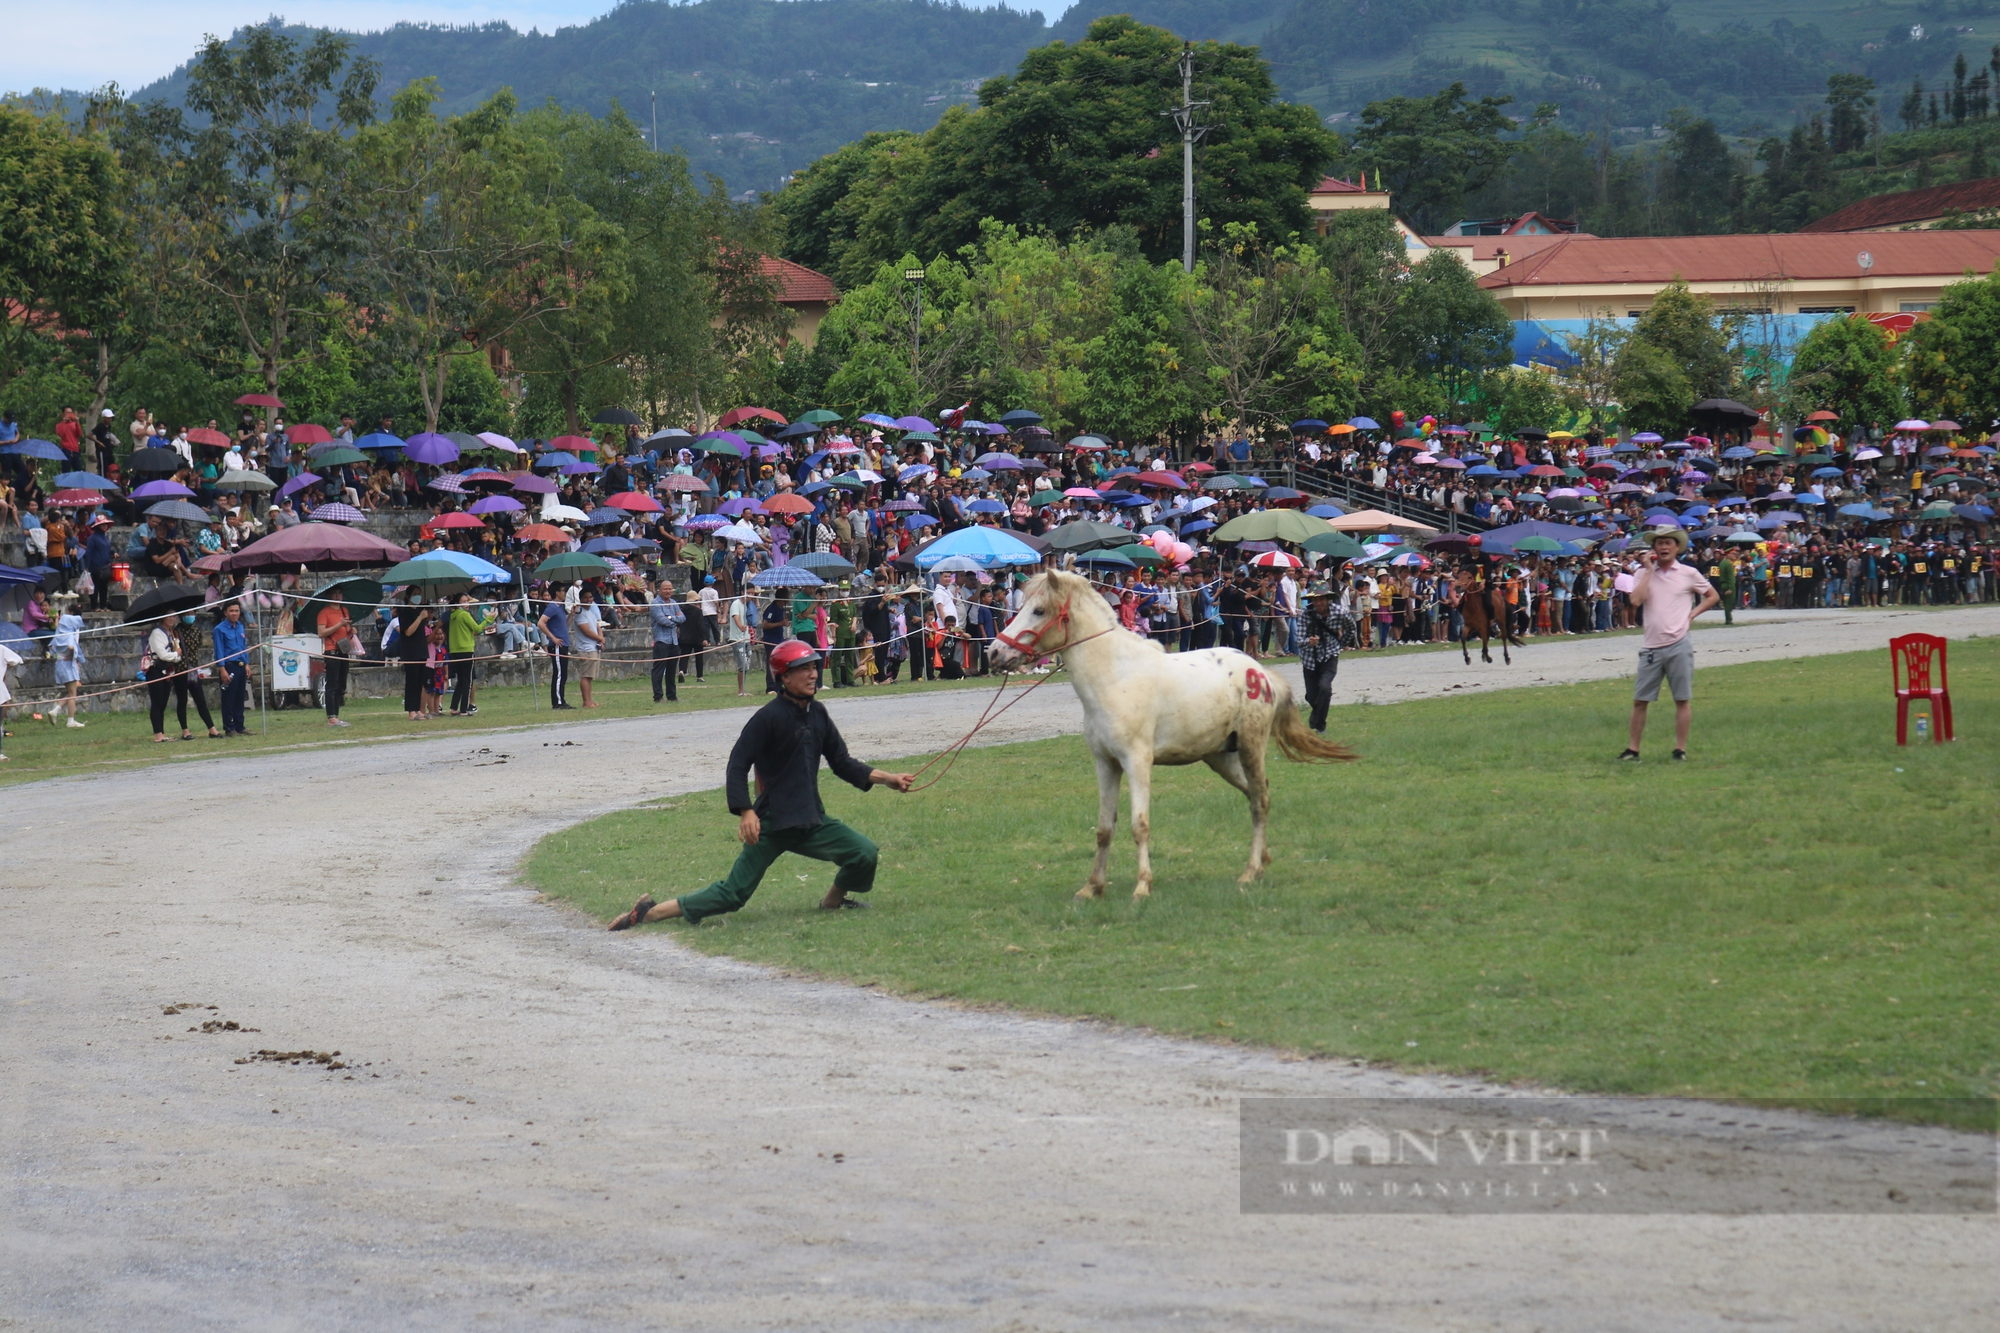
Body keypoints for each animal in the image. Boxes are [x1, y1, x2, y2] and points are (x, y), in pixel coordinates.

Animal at [988, 564, 1360, 896]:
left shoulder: (1137, 762)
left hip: (1251, 747)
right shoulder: (1106, 764)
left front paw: (1142, 886)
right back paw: (1262, 862)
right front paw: (1092, 887)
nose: (994, 651)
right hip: (1221, 758)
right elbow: (1105, 829)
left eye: (1038, 610)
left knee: (1260, 801)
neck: (1115, 677)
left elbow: (1140, 825)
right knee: (1258, 795)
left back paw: (1250, 871)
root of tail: (1260, 672)